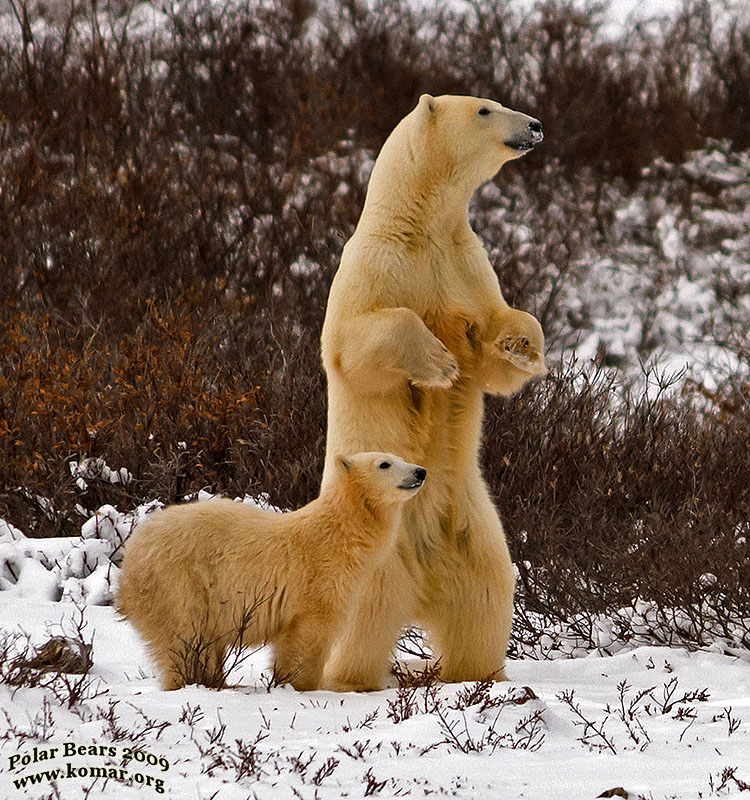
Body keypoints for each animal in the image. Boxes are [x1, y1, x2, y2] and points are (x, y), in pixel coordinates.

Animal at [320, 95, 544, 692]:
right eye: (486, 108)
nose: (535, 125)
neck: (421, 227)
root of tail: (424, 586)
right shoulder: (374, 266)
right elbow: (356, 340)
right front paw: (438, 363)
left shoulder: (467, 264)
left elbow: (493, 349)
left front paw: (523, 344)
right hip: (380, 544)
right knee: (363, 615)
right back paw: (348, 678)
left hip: (473, 529)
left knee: (486, 601)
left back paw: (475, 674)